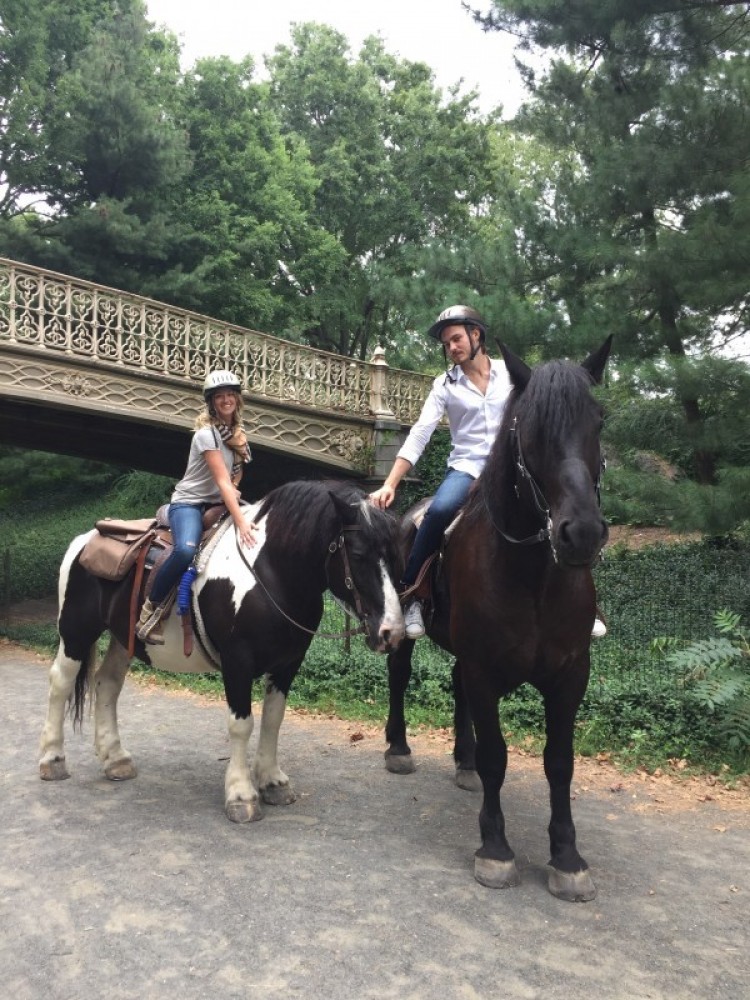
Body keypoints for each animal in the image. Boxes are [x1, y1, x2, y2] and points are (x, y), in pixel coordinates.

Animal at [39, 482, 406, 820]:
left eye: (395, 556)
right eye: (358, 555)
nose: (392, 631)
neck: (270, 572)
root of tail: (84, 541)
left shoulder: (288, 663)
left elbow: (273, 719)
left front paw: (272, 781)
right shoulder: (237, 662)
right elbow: (241, 724)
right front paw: (241, 794)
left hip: (122, 638)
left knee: (107, 684)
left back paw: (116, 759)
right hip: (76, 632)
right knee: (60, 682)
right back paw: (52, 760)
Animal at [382, 340, 612, 904]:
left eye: (598, 418)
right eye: (529, 425)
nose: (582, 533)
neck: (533, 574)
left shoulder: (570, 675)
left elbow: (559, 760)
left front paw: (567, 856)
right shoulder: (486, 669)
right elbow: (497, 756)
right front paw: (495, 847)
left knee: (456, 685)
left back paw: (461, 761)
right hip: (412, 639)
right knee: (400, 677)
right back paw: (398, 747)